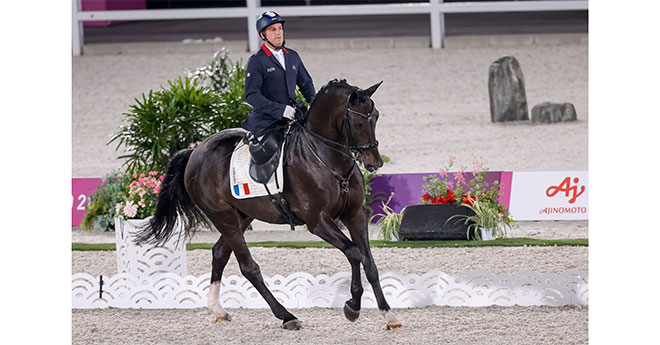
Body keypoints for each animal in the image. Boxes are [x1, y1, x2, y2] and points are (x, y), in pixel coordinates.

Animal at [137, 79, 400, 330]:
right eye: (357, 122)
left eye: (376, 117)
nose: (375, 163)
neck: (328, 159)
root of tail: (194, 152)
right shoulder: (318, 222)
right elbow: (355, 253)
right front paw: (352, 306)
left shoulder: (354, 215)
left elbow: (369, 263)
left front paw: (389, 315)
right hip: (223, 215)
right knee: (248, 266)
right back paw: (286, 316)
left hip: (242, 216)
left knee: (220, 253)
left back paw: (217, 309)